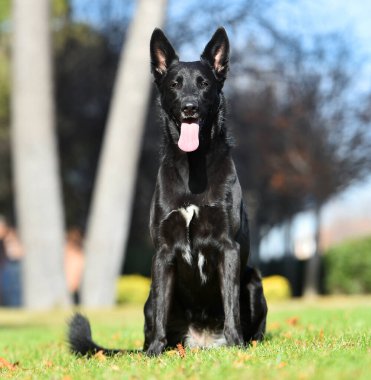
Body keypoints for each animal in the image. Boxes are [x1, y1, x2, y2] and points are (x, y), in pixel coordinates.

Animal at [68, 27, 268, 356]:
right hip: (149, 294)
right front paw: (154, 351)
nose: (189, 108)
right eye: (175, 84)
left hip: (253, 280)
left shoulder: (229, 248)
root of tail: (201, 342)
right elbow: (162, 309)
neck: (193, 168)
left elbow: (231, 306)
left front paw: (236, 344)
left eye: (204, 84)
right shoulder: (162, 253)